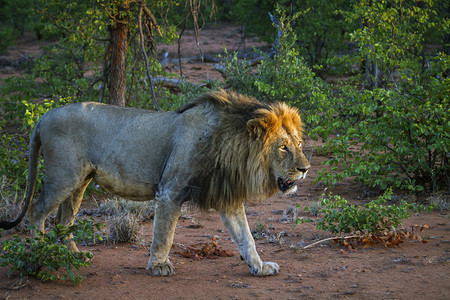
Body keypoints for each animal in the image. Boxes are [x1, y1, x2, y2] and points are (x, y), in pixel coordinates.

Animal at [0, 89, 310, 276]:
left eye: (299, 144)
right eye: (283, 147)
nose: (305, 169)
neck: (229, 146)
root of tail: (44, 116)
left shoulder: (228, 198)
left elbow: (246, 237)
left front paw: (259, 267)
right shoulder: (170, 189)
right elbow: (165, 234)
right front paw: (159, 266)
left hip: (80, 182)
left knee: (64, 220)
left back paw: (73, 256)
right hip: (63, 176)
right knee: (37, 212)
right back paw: (41, 256)